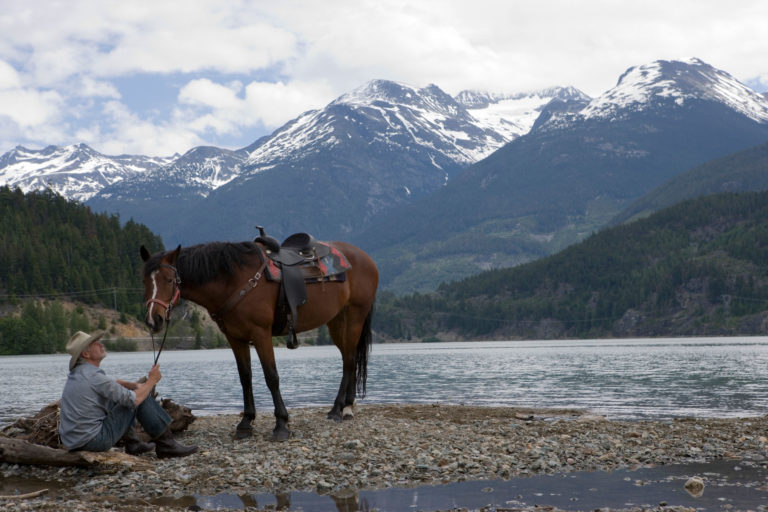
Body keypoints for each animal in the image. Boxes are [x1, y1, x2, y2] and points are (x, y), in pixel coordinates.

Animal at [139, 239, 378, 441]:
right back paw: (345, 407)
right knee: (349, 359)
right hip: (336, 321)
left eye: (169, 280)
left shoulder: (261, 334)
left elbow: (271, 376)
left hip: (355, 317)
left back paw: (340, 410)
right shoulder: (235, 338)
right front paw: (245, 423)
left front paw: (281, 424)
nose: (153, 320)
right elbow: (245, 377)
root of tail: (365, 258)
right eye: (145, 282)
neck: (234, 280)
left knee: (349, 361)